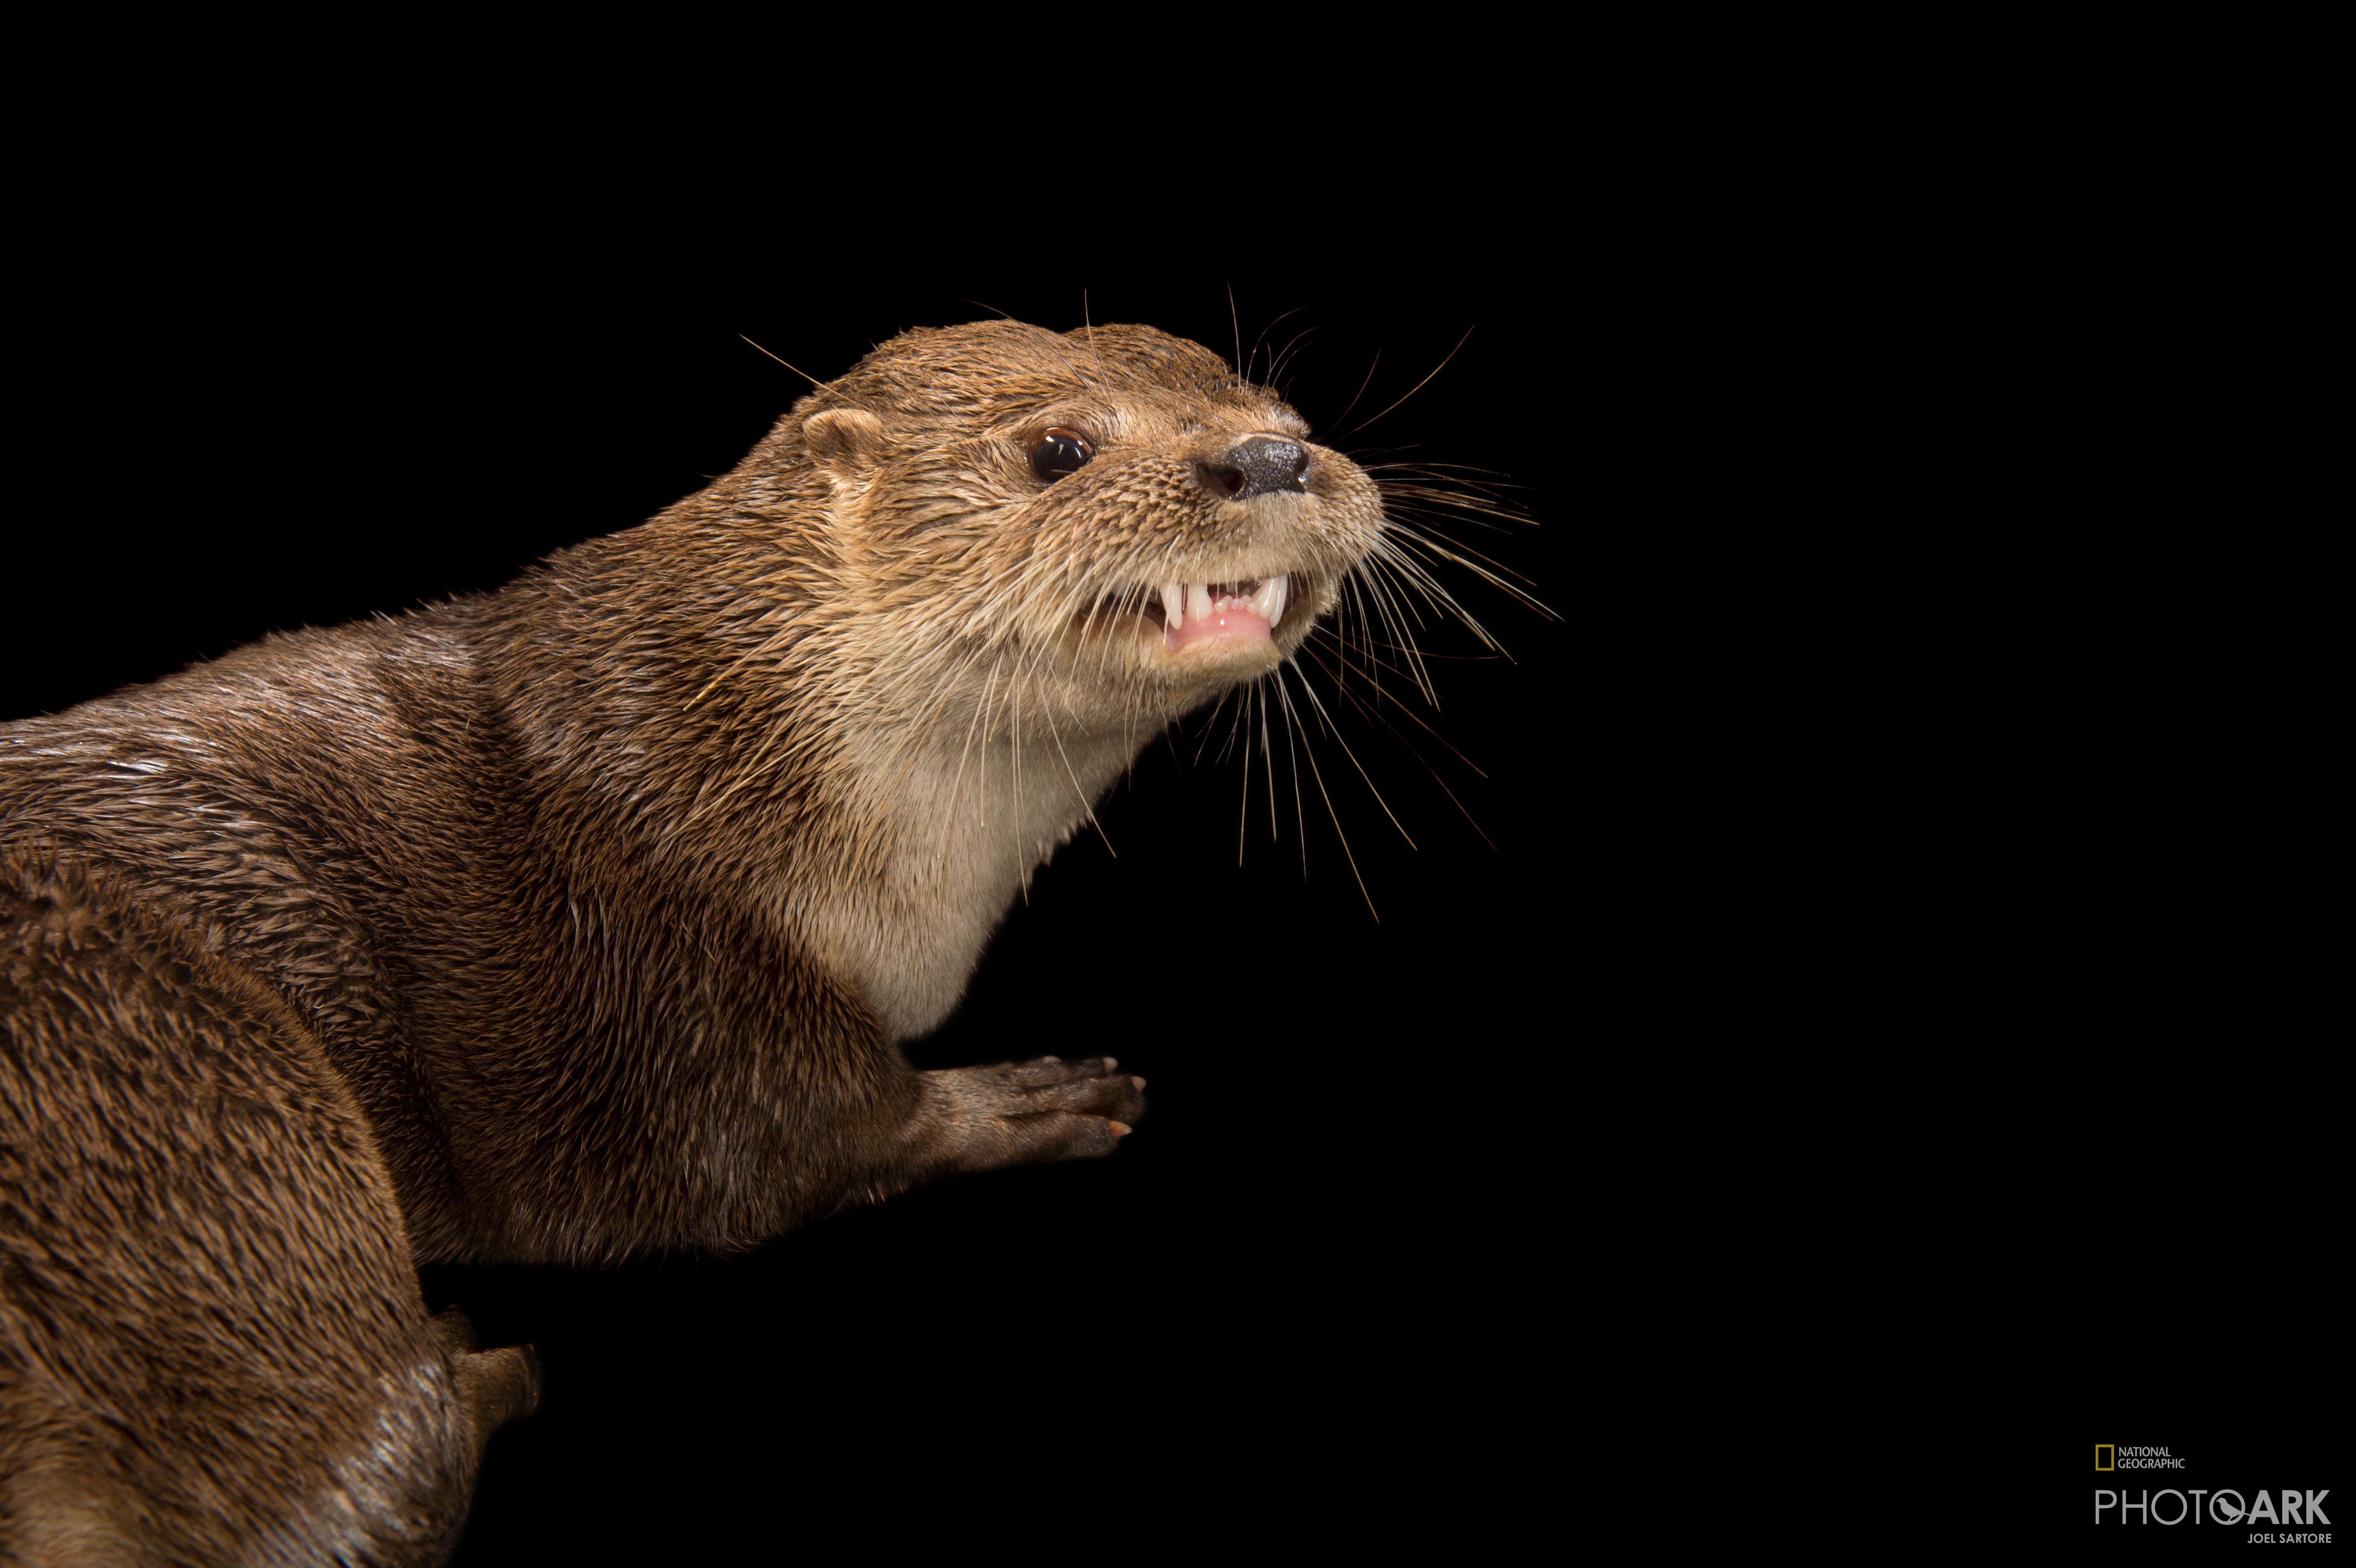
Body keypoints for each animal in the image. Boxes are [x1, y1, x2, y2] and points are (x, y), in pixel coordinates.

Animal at [0, 320, 1392, 1562]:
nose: (1272, 456)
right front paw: (1020, 1101)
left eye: (1279, 404)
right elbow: (782, 1146)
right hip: (195, 1090)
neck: (705, 776)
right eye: (1059, 449)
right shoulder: (641, 970)